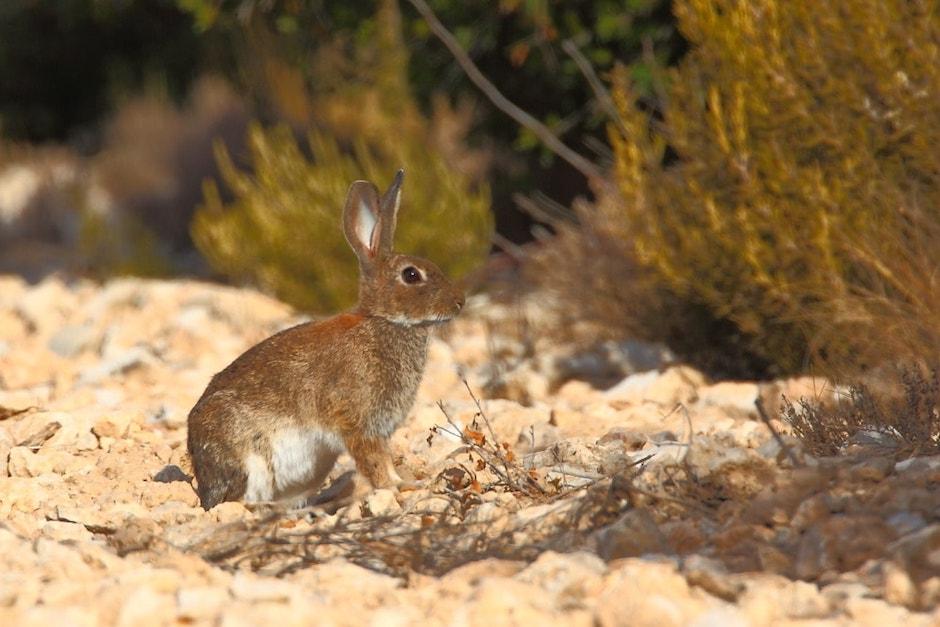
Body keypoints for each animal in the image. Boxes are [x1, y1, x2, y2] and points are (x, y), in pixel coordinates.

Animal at [185, 170, 464, 510]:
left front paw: (405, 483)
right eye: (411, 275)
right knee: (237, 502)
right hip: (248, 457)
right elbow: (374, 463)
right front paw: (397, 489)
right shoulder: (358, 424)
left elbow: (384, 460)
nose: (460, 302)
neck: (383, 321)